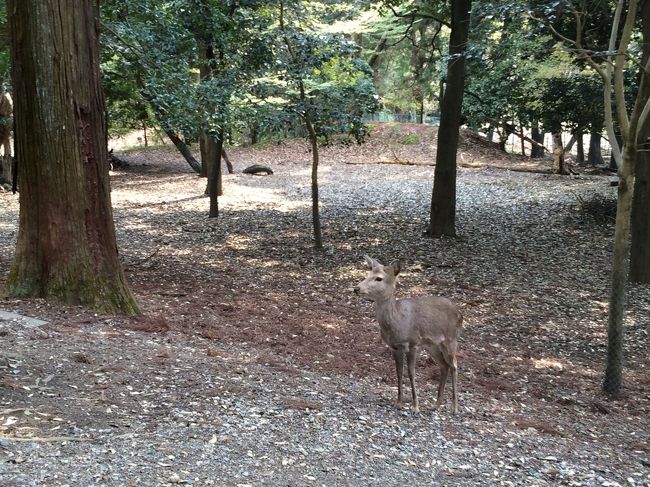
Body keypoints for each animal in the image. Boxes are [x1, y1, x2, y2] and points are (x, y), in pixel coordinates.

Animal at [355, 255, 463, 414]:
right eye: (367, 274)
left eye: (379, 278)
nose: (356, 288)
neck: (398, 324)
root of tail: (460, 314)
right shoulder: (394, 347)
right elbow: (399, 372)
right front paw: (399, 402)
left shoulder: (413, 343)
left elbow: (411, 373)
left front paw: (415, 406)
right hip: (432, 345)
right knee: (444, 365)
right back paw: (436, 404)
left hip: (451, 338)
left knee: (454, 365)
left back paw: (454, 407)